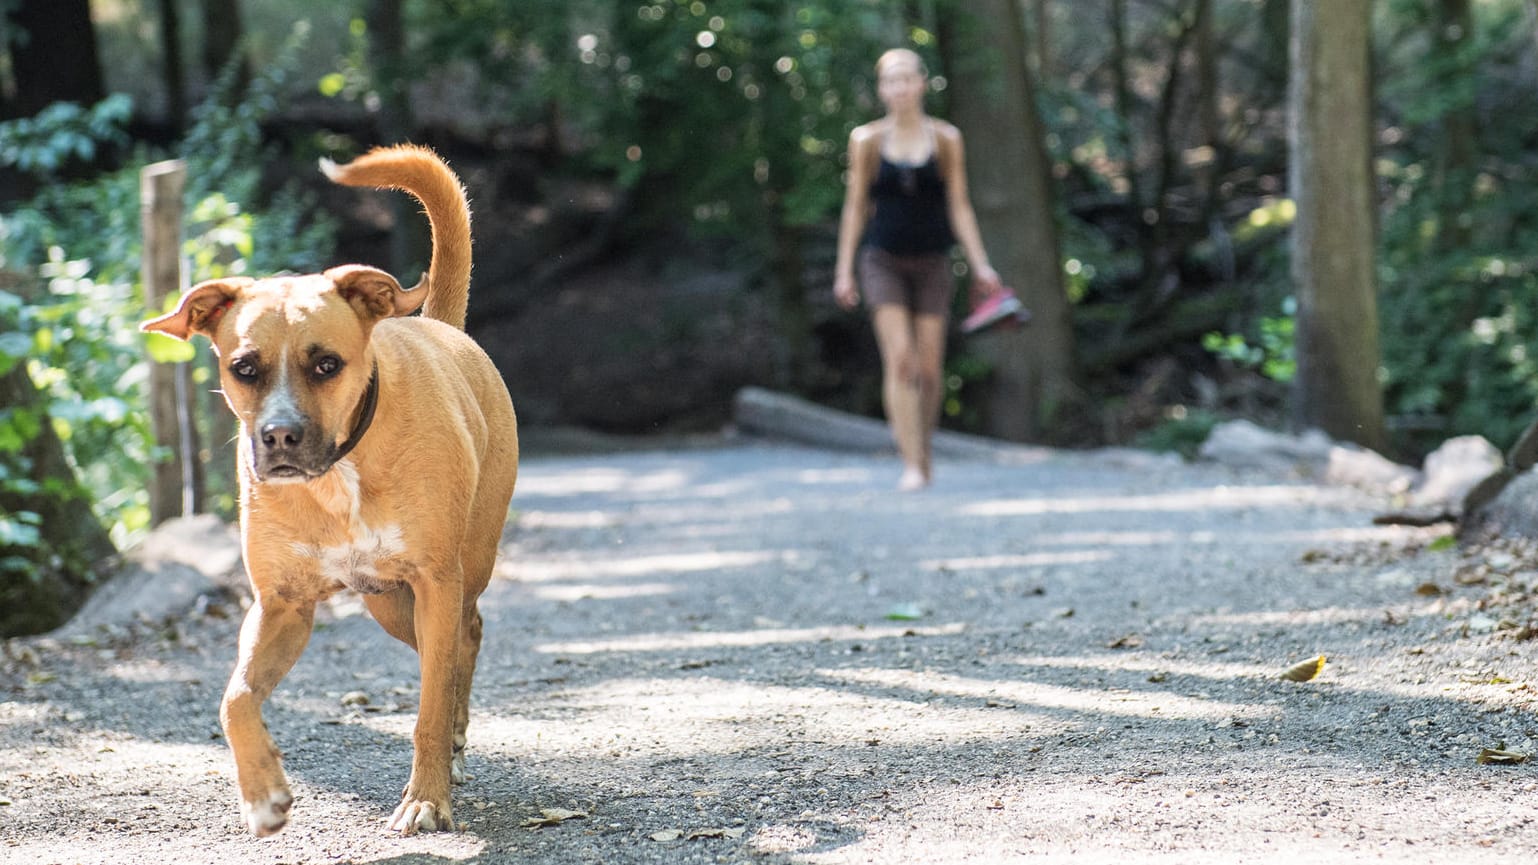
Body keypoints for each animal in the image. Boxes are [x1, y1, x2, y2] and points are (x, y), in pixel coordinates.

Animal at [144, 144, 516, 831]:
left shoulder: (435, 582)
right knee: (456, 649)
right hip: (390, 604)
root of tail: (441, 327)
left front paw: (425, 799)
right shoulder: (281, 605)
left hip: (452, 578)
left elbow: (427, 709)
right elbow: (235, 699)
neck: (338, 474)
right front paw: (262, 794)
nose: (280, 437)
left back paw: (451, 746)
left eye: (326, 364)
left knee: (463, 643)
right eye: (244, 368)